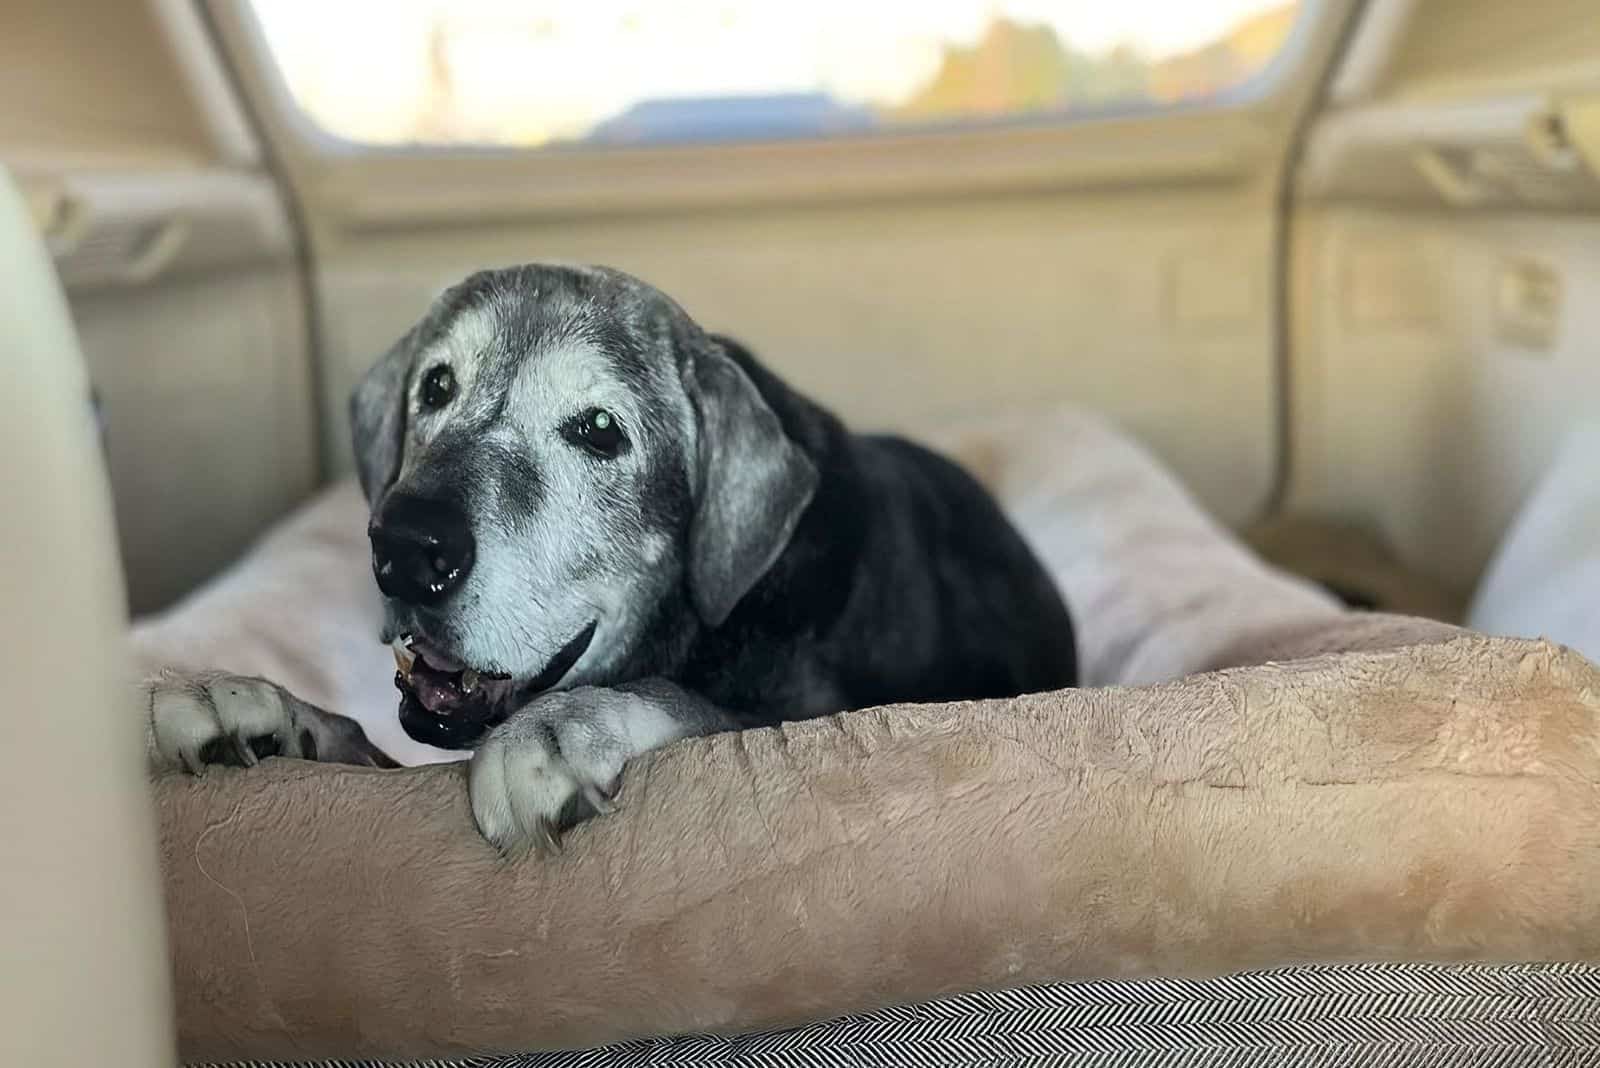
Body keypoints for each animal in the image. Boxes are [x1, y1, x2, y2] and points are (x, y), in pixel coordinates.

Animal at [150, 265, 1081, 850]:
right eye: (437, 386)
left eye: (600, 430)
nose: (407, 547)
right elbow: (350, 743)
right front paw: (247, 704)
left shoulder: (815, 722)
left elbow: (701, 709)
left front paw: (561, 730)